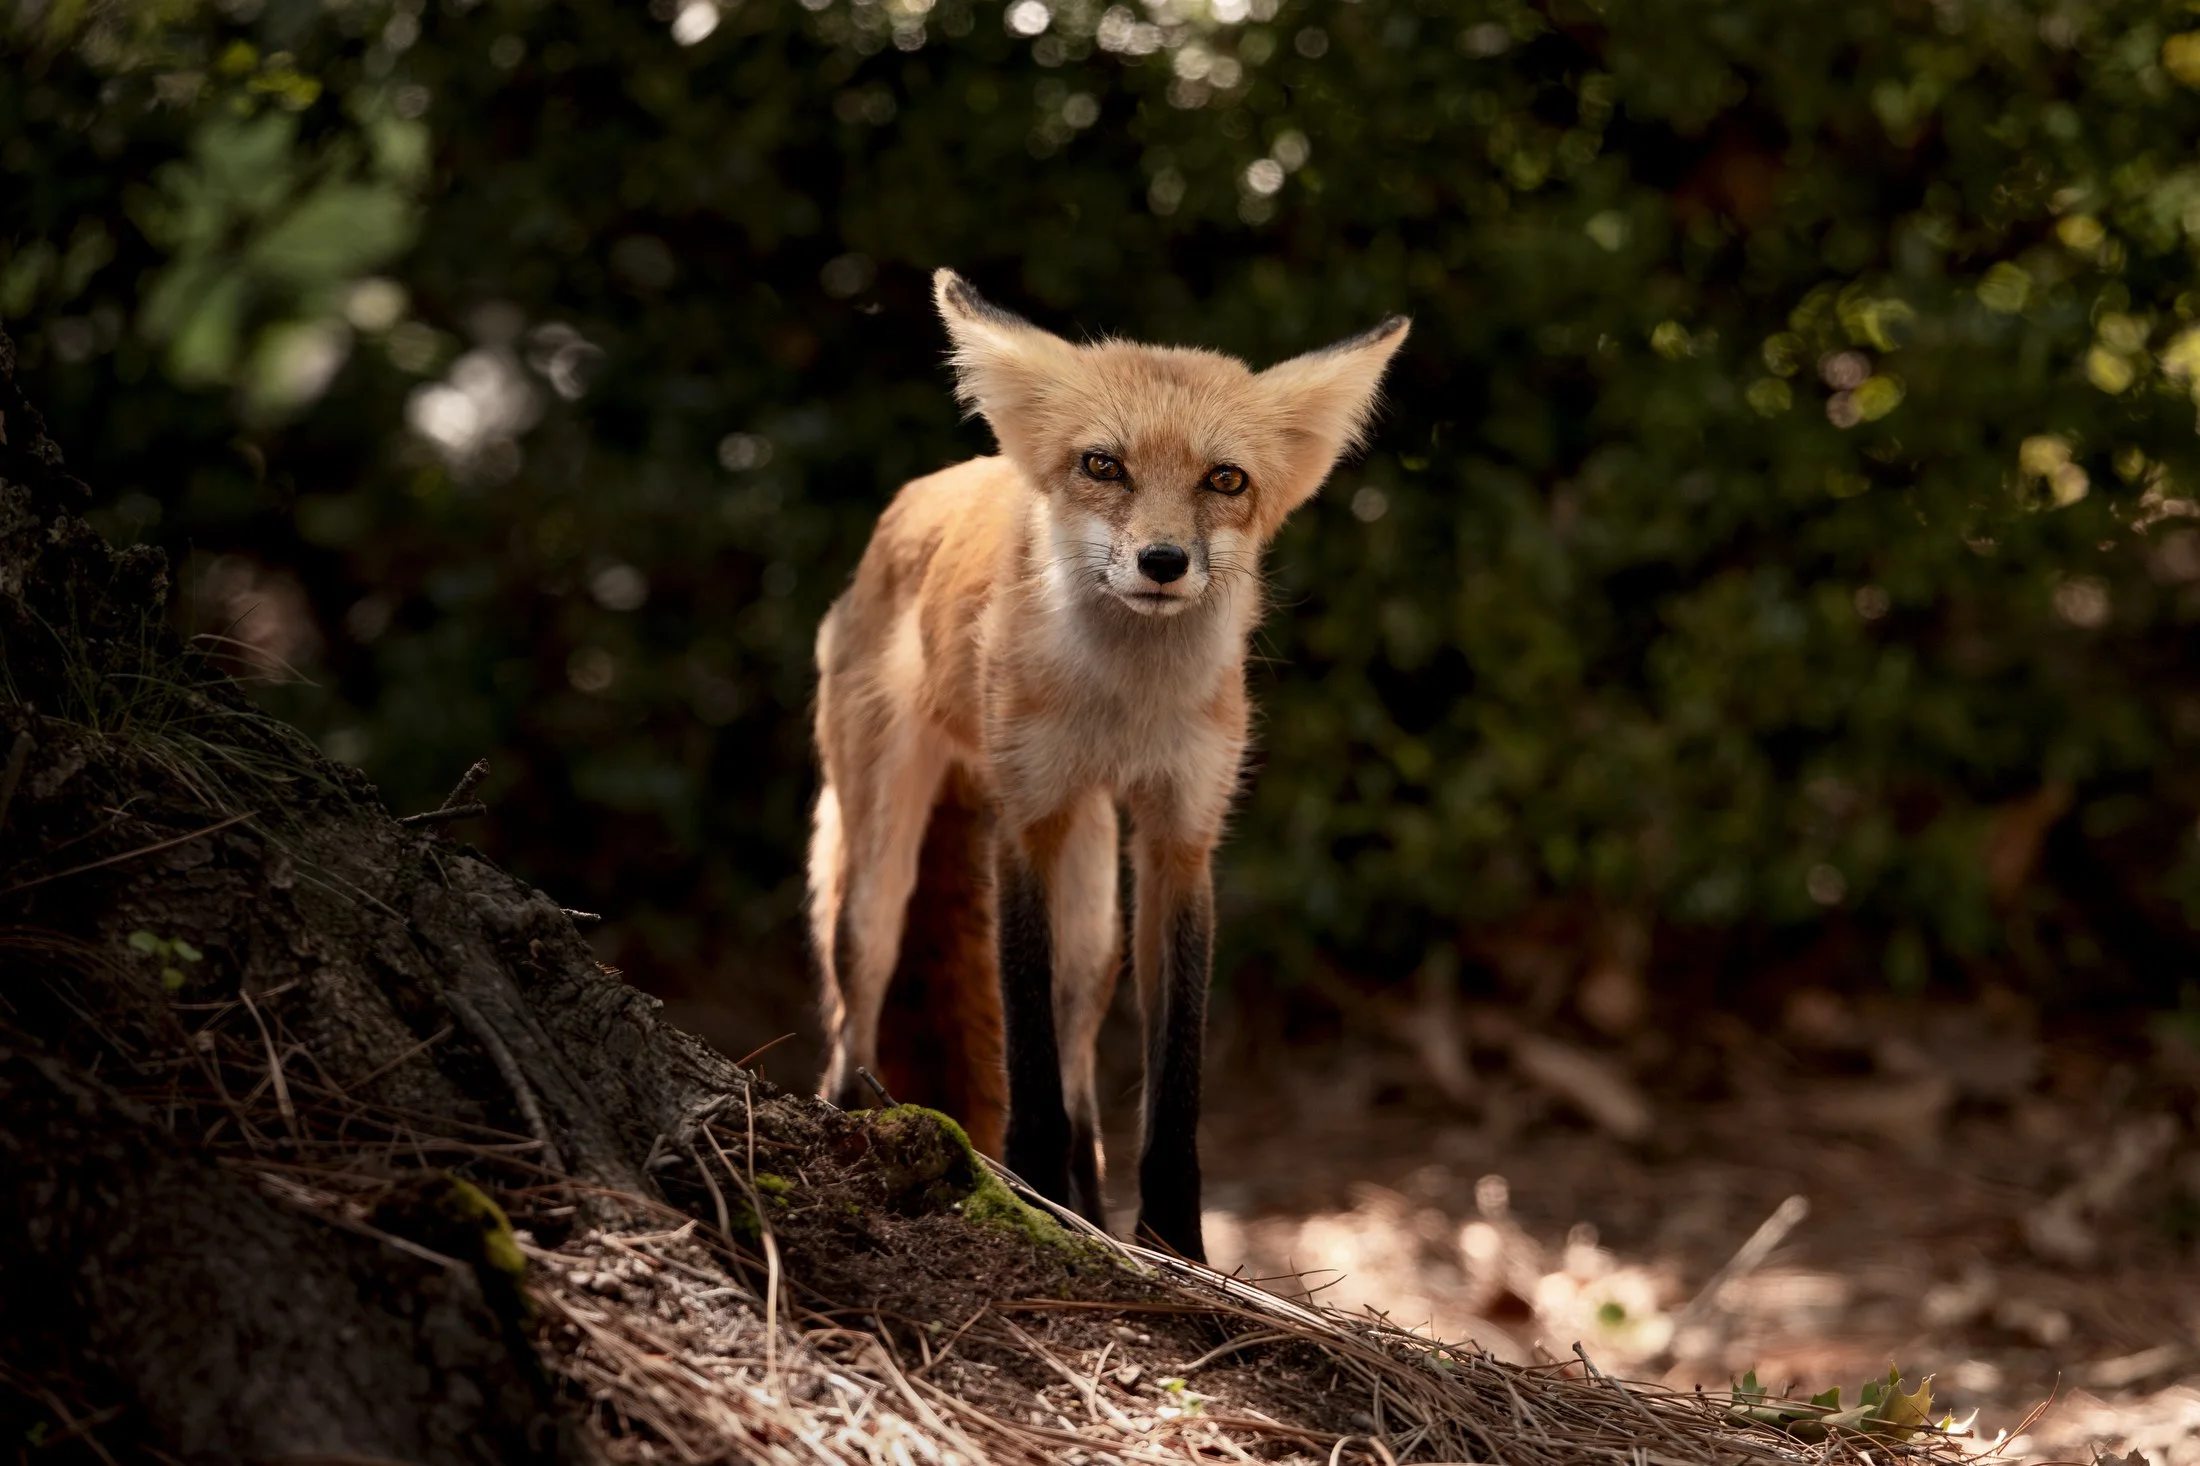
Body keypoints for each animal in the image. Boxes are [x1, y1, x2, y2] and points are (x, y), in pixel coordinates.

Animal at [809, 269, 1408, 1261]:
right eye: (1103, 466)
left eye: (1225, 479)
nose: (1162, 562)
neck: (1126, 709)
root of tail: (930, 487)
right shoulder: (1026, 823)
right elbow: (1026, 1054)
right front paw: (1030, 1190)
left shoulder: (1180, 838)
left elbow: (1172, 1084)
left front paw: (1175, 1242)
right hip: (880, 875)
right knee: (855, 1019)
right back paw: (852, 1127)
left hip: (1095, 903)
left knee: (1081, 1036)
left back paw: (1089, 1207)